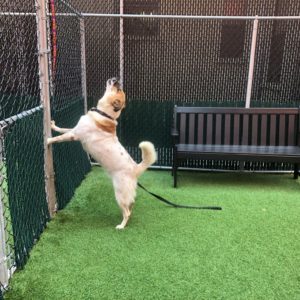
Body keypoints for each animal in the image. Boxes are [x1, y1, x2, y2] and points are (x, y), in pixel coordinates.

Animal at [47, 78, 157, 230]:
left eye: (118, 89)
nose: (115, 79)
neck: (104, 114)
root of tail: (135, 169)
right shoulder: (75, 130)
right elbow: (63, 129)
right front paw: (53, 126)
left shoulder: (74, 135)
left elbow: (60, 138)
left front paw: (48, 140)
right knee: (131, 207)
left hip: (120, 194)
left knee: (127, 212)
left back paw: (121, 226)